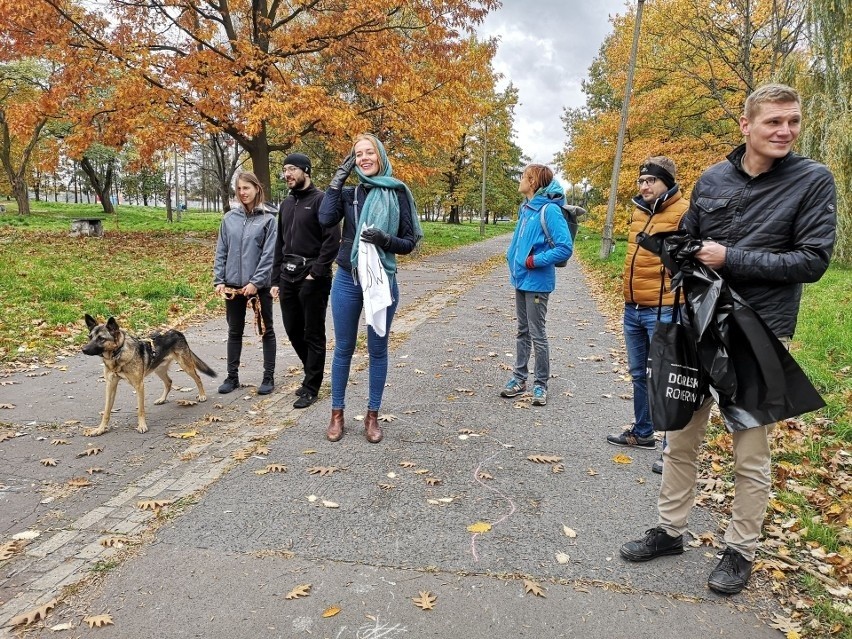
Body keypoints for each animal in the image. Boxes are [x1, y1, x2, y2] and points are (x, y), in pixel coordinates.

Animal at [82, 314, 216, 438]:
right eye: (90, 337)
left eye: (101, 339)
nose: (83, 349)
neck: (117, 355)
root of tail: (176, 332)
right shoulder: (110, 386)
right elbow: (106, 412)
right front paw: (100, 429)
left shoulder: (139, 386)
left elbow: (141, 410)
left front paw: (142, 426)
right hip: (159, 369)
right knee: (169, 382)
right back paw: (162, 399)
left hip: (185, 366)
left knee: (197, 378)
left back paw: (202, 395)